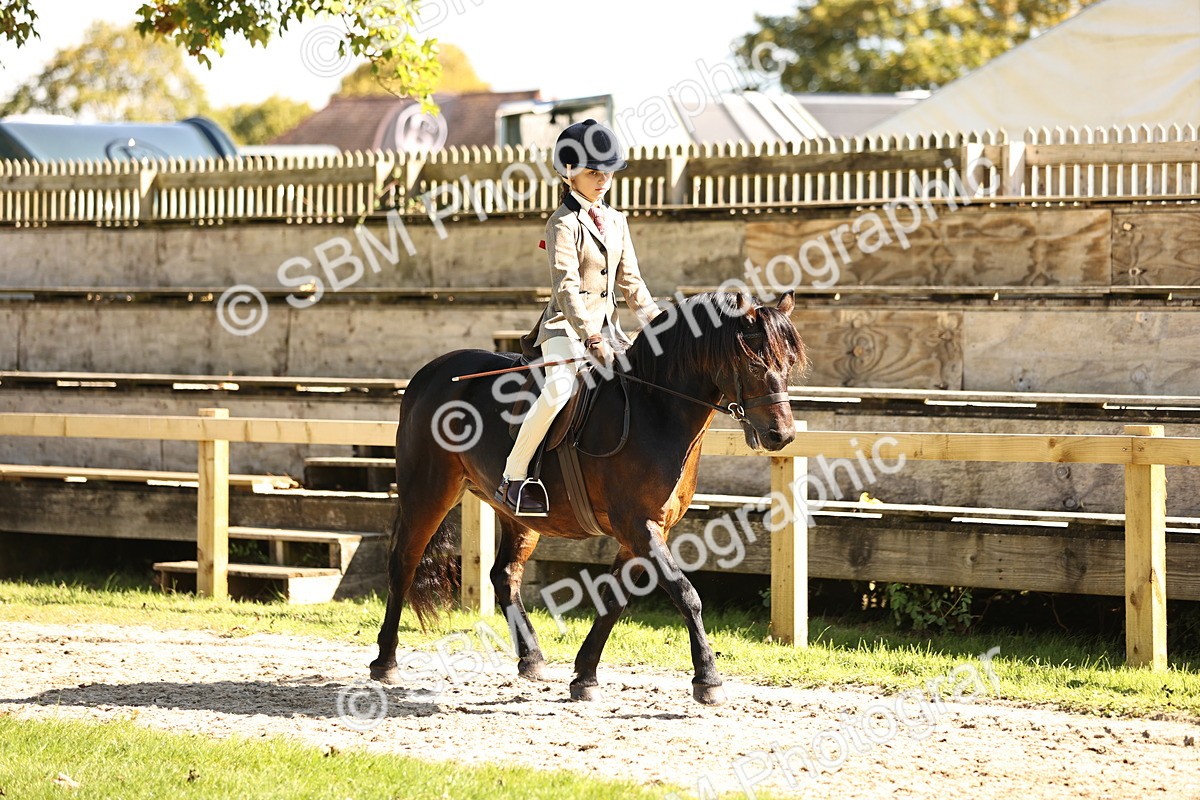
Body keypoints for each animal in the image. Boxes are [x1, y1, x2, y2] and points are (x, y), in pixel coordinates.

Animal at [369, 290, 806, 705]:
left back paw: (532, 659)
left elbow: (614, 599)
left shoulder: (644, 531)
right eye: (754, 364)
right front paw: (708, 679)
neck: (655, 409)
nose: (781, 436)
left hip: (518, 514)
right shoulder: (639, 527)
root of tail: (431, 372)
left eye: (788, 365)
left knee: (504, 575)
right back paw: (385, 662)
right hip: (427, 494)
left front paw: (585, 676)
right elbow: (686, 594)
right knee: (403, 564)